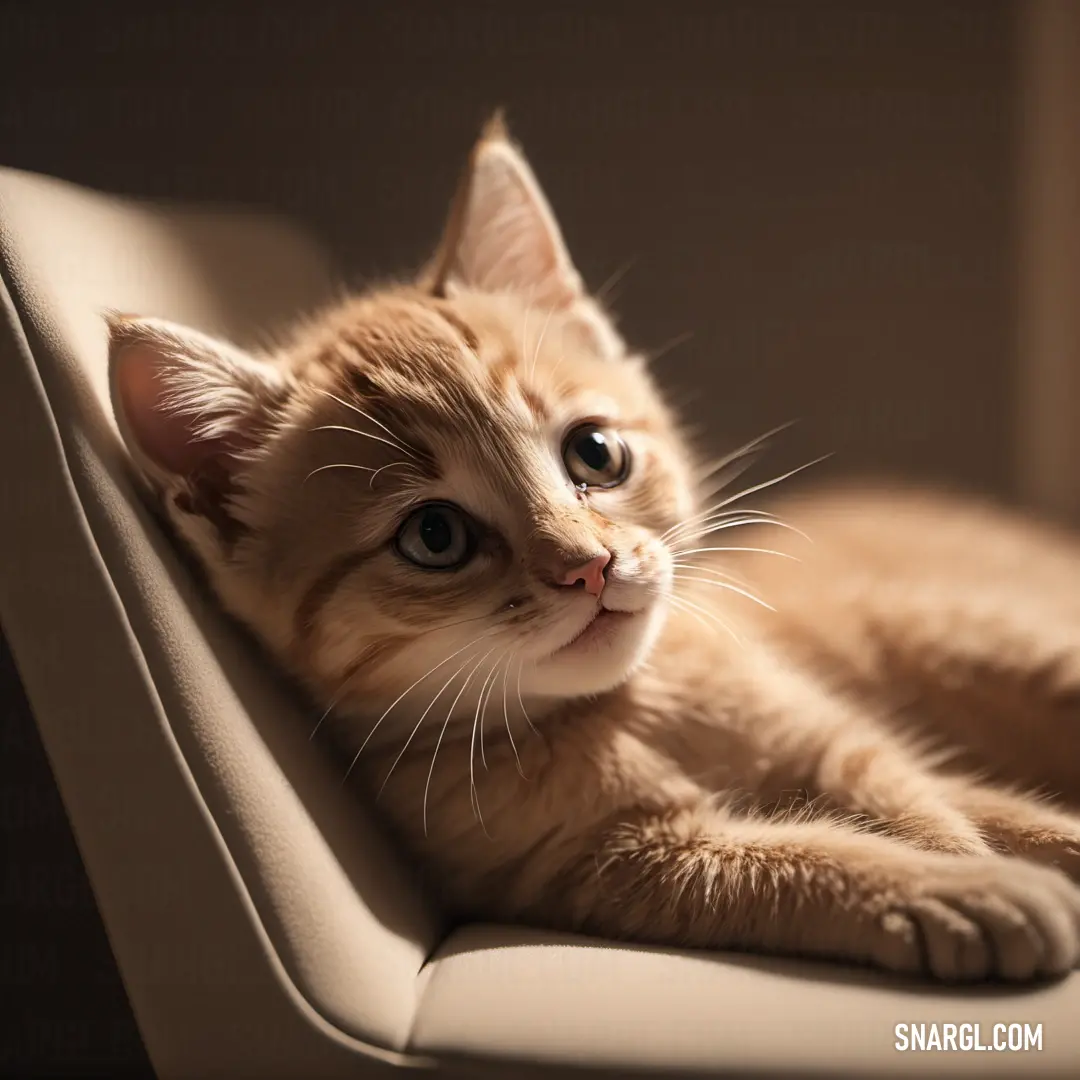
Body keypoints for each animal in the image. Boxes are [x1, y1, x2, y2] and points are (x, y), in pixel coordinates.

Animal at [105, 118, 1080, 980]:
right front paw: (965, 891)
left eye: (595, 454)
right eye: (434, 536)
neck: (623, 708)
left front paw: (979, 859)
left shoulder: (834, 743)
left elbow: (929, 804)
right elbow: (803, 863)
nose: (590, 565)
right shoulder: (620, 865)